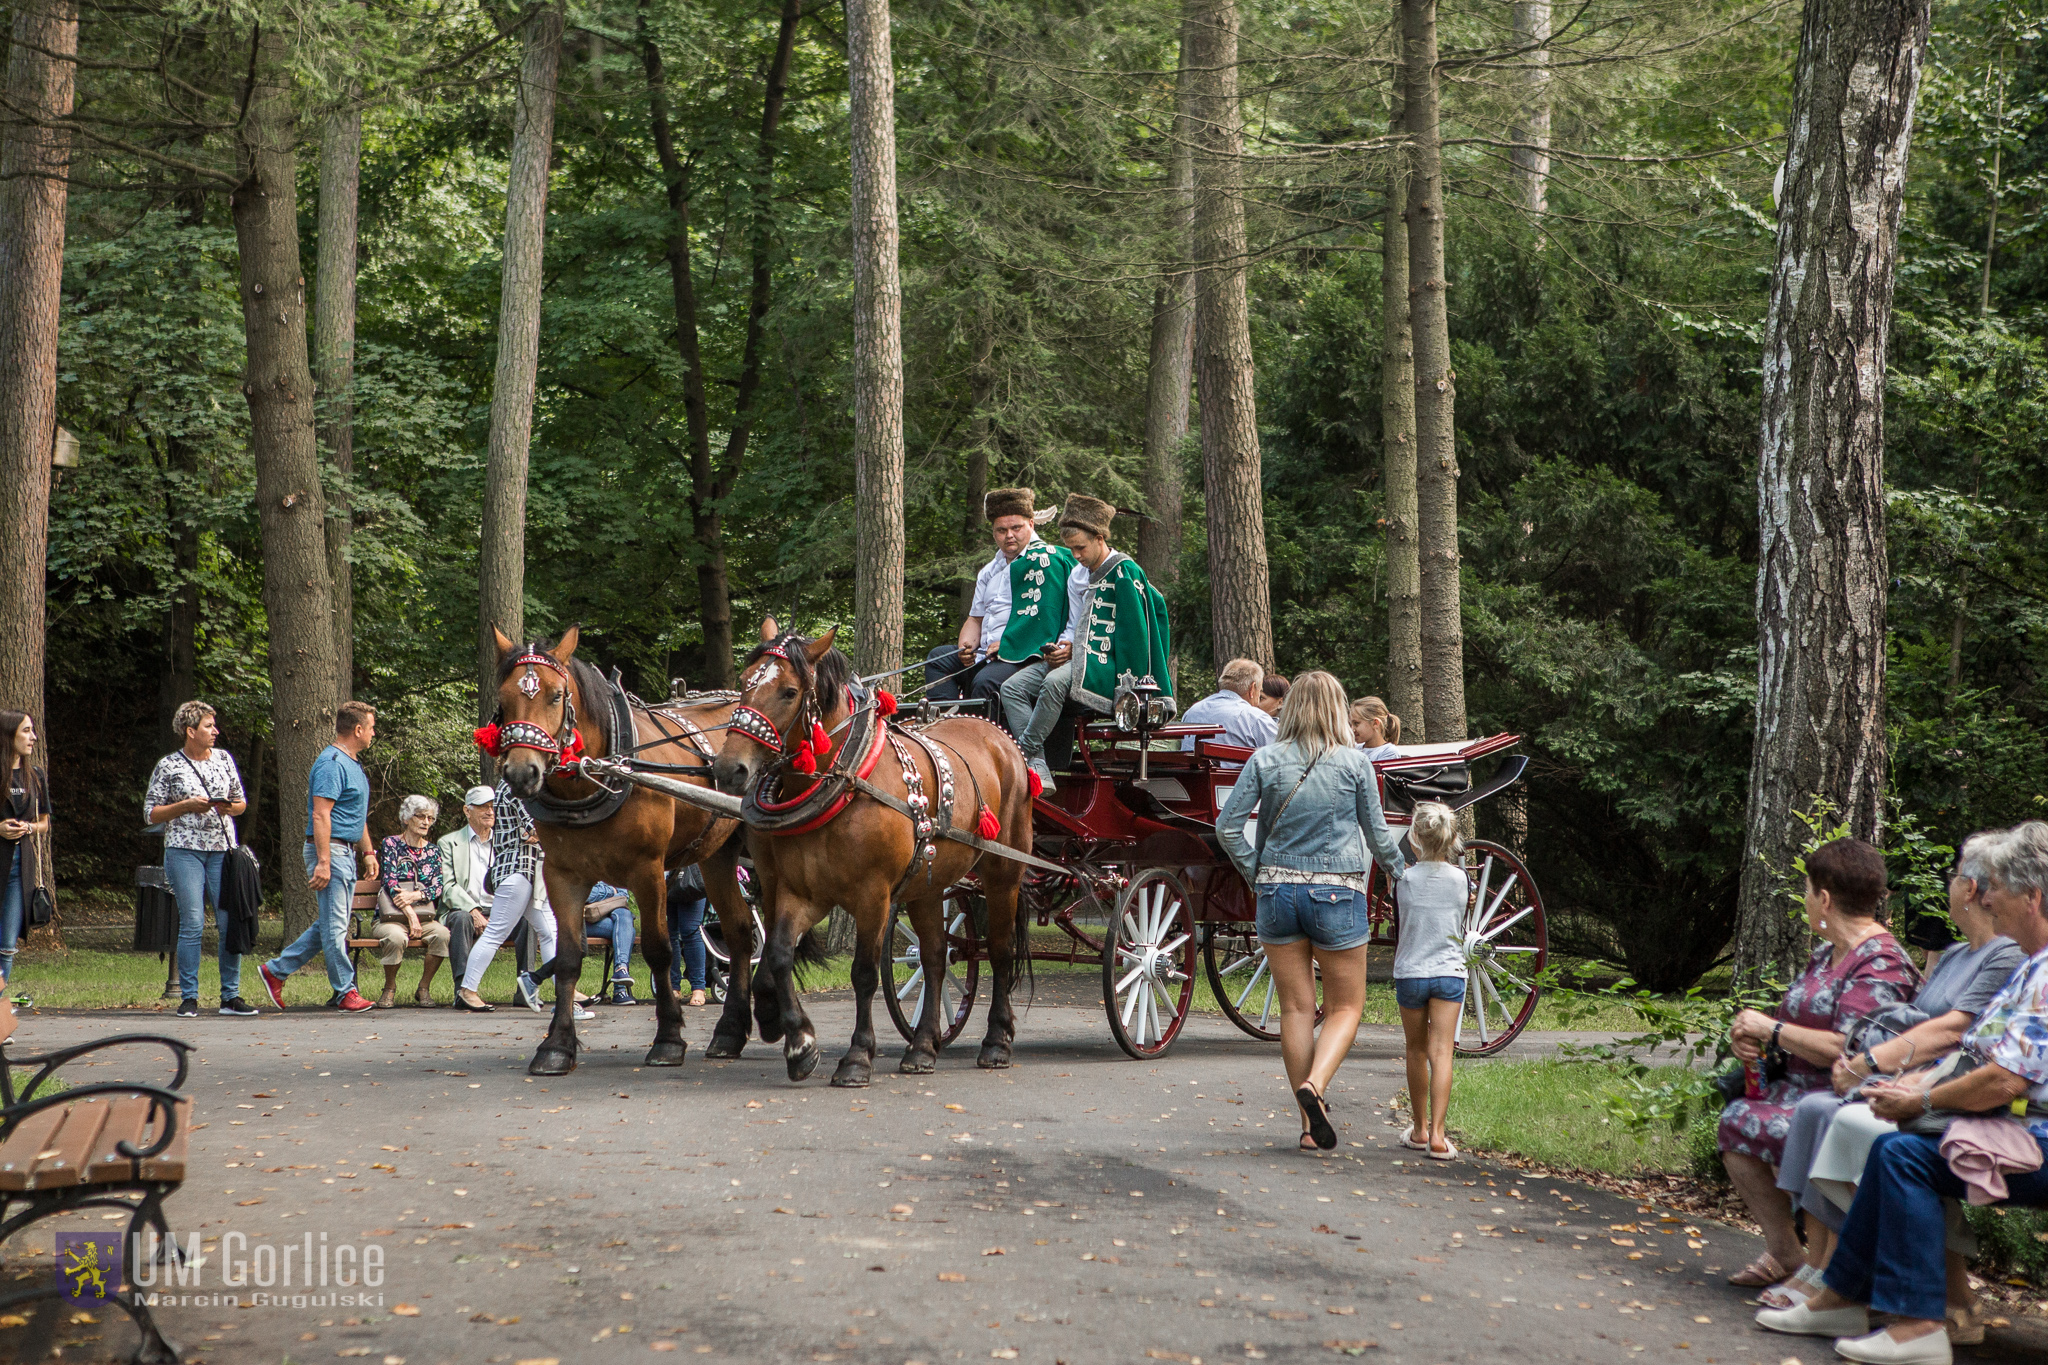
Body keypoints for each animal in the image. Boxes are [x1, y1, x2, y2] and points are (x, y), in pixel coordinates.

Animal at [487, 626, 761, 1080]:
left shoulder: (647, 872)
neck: (599, 775)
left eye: (556, 696)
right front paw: (557, 1046)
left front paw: (668, 1038)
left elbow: (659, 950)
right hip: (718, 854)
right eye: (503, 698)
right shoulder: (563, 874)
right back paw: (729, 1033)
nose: (522, 773)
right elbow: (567, 957)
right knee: (740, 931)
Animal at [716, 622, 1040, 1088]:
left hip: (1004, 872)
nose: (729, 769)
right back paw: (922, 1047)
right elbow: (777, 953)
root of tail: (999, 736)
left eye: (789, 692)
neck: (846, 781)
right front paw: (800, 1044)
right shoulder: (801, 891)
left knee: (999, 951)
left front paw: (856, 1057)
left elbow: (864, 973)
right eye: (744, 683)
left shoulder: (873, 895)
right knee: (935, 957)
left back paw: (996, 1041)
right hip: (928, 882)